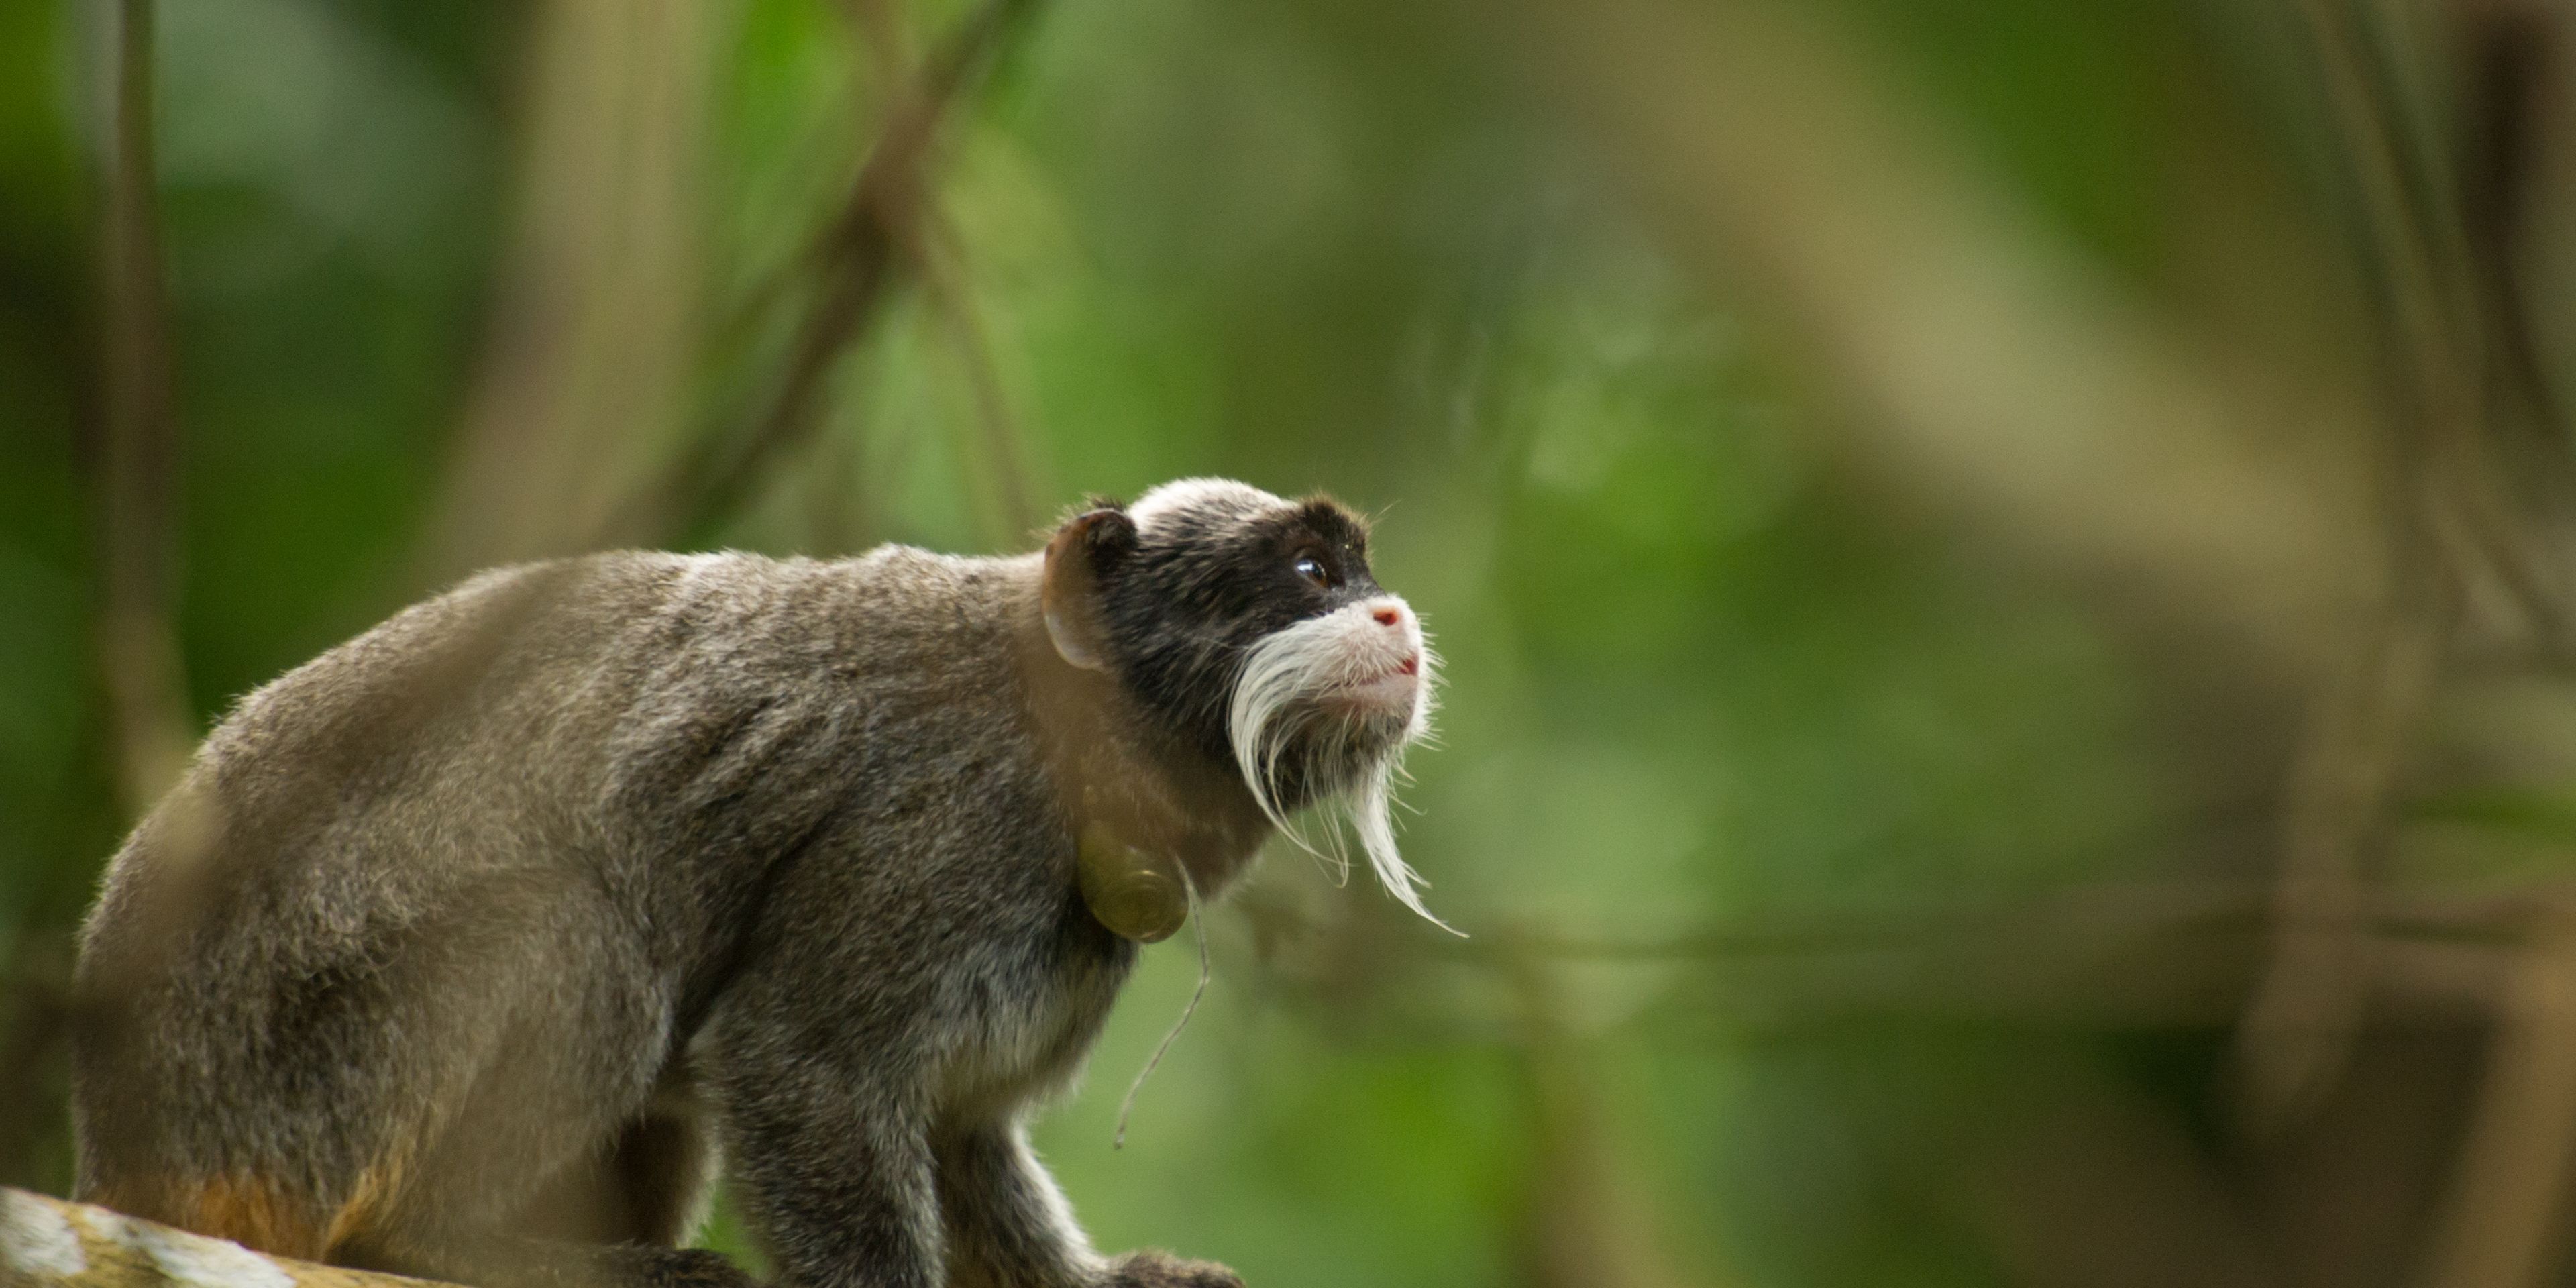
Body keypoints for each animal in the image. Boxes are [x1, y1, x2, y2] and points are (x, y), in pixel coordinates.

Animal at [66, 478, 1442, 1288]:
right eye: (1313, 577)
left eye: (1364, 573)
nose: (1398, 619)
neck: (1070, 747)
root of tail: (127, 1145)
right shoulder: (932, 837)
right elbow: (806, 1063)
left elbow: (960, 1131)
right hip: (301, 1093)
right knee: (580, 933)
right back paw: (452, 1244)